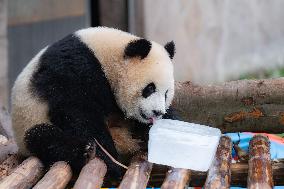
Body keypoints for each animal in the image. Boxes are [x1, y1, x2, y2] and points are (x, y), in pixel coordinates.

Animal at [11, 26, 176, 176]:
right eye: (150, 88)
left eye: (166, 93)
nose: (157, 112)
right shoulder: (74, 69)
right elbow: (78, 113)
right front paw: (110, 160)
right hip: (30, 120)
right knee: (43, 138)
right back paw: (85, 152)